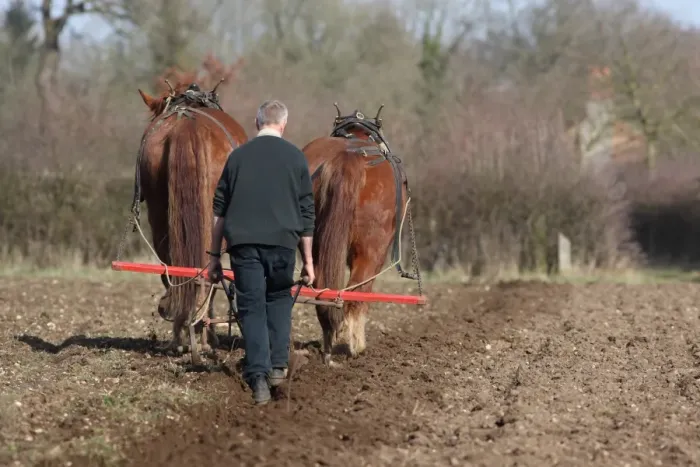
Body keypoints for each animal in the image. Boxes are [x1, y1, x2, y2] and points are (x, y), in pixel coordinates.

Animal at [134, 80, 248, 360]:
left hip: (160, 217)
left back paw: (182, 335)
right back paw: (199, 333)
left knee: (174, 269)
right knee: (206, 271)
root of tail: (188, 125)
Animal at [301, 104, 421, 366]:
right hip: (373, 247)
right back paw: (357, 346)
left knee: (324, 290)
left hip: (314, 243)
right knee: (357, 291)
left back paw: (328, 343)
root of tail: (347, 157)